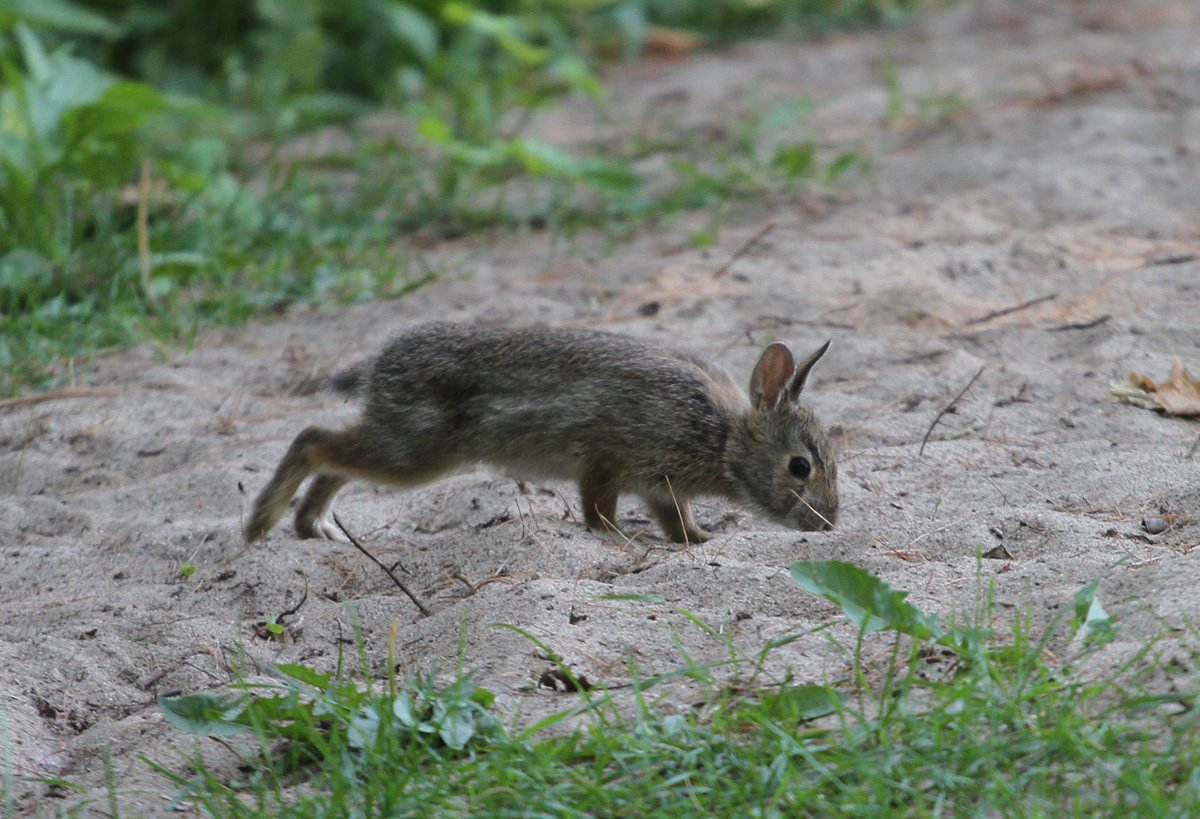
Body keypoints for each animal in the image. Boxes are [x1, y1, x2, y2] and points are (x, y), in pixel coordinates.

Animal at [243, 322, 838, 545]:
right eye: (800, 466)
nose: (828, 524)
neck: (722, 437)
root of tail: (379, 368)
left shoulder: (659, 488)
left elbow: (677, 520)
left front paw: (699, 540)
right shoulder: (608, 458)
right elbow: (598, 508)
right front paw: (618, 538)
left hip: (398, 442)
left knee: (334, 458)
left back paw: (313, 526)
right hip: (417, 451)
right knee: (313, 439)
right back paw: (261, 524)